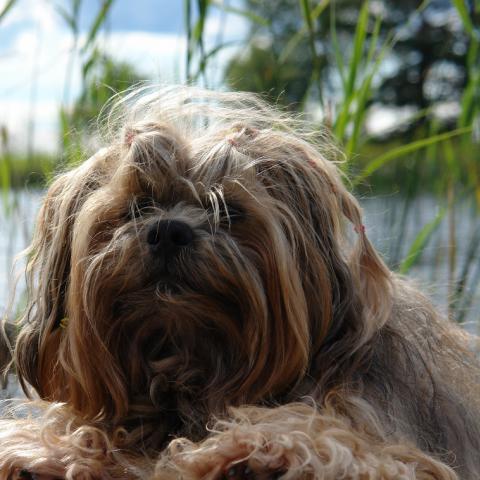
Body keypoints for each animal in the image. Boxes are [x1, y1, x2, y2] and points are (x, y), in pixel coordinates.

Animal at [0, 87, 480, 480]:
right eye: (138, 208)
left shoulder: (395, 437)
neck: (193, 360)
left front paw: (252, 451)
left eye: (228, 211)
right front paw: (43, 452)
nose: (168, 231)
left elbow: (339, 441)